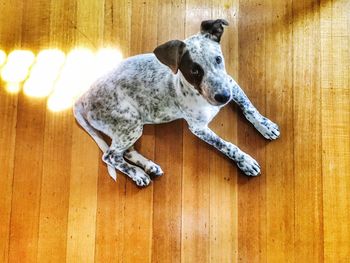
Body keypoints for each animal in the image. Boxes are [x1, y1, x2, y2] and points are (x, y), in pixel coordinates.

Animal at [73, 19, 278, 188]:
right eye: (195, 70)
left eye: (218, 59)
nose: (223, 98)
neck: (199, 93)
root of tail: (83, 97)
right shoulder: (198, 128)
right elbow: (226, 145)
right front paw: (245, 161)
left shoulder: (230, 83)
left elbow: (248, 108)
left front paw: (265, 126)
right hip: (130, 123)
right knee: (110, 156)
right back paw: (138, 174)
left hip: (125, 129)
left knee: (124, 153)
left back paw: (149, 167)